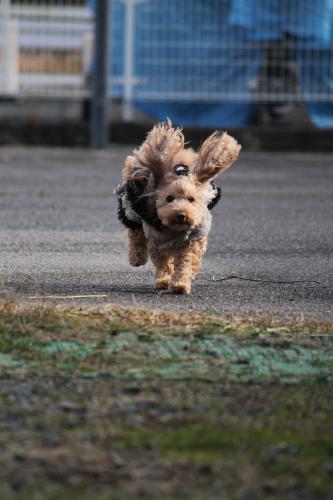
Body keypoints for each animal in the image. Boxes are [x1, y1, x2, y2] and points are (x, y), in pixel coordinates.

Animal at [115, 120, 240, 292]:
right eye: (169, 199)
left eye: (191, 199)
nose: (181, 215)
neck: (175, 230)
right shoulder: (157, 241)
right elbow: (162, 262)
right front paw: (163, 281)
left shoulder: (192, 240)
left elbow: (185, 262)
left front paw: (180, 284)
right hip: (131, 210)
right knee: (135, 233)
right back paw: (136, 257)